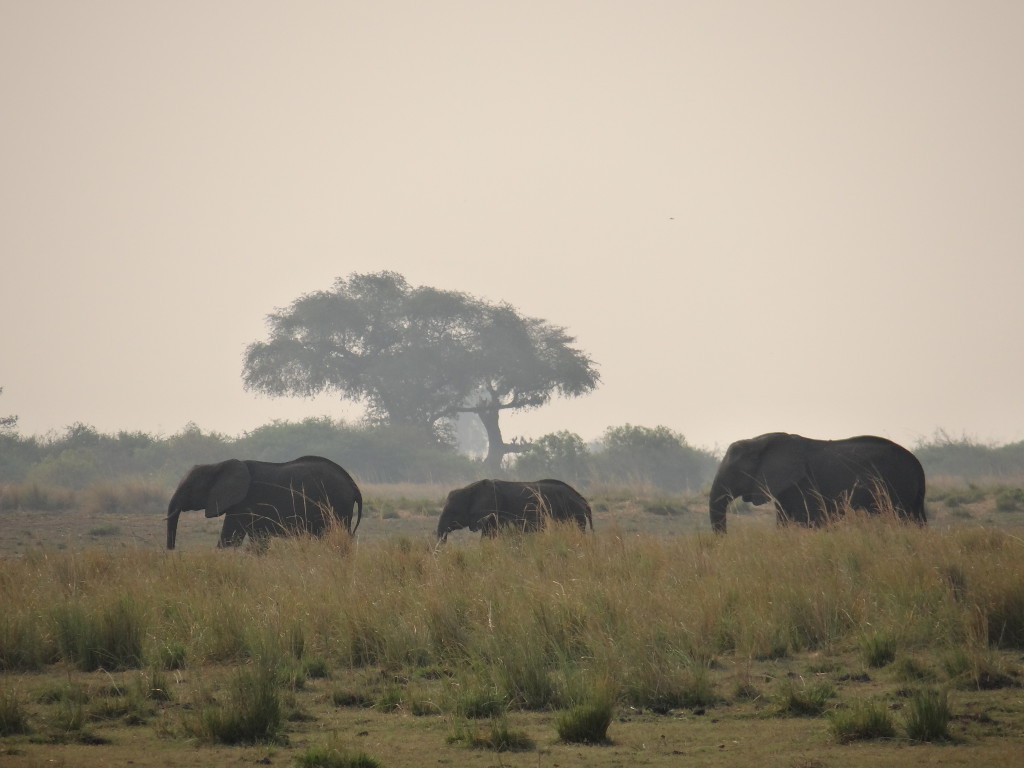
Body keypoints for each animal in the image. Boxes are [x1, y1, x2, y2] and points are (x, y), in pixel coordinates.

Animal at [166, 455, 362, 549]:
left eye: (189, 487)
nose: (172, 550)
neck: (218, 465)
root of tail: (353, 485)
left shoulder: (242, 502)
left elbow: (230, 539)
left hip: (337, 504)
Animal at [708, 433, 926, 533]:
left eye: (736, 472)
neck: (759, 441)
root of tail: (917, 463)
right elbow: (783, 522)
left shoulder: (803, 483)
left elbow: (809, 520)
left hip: (898, 486)